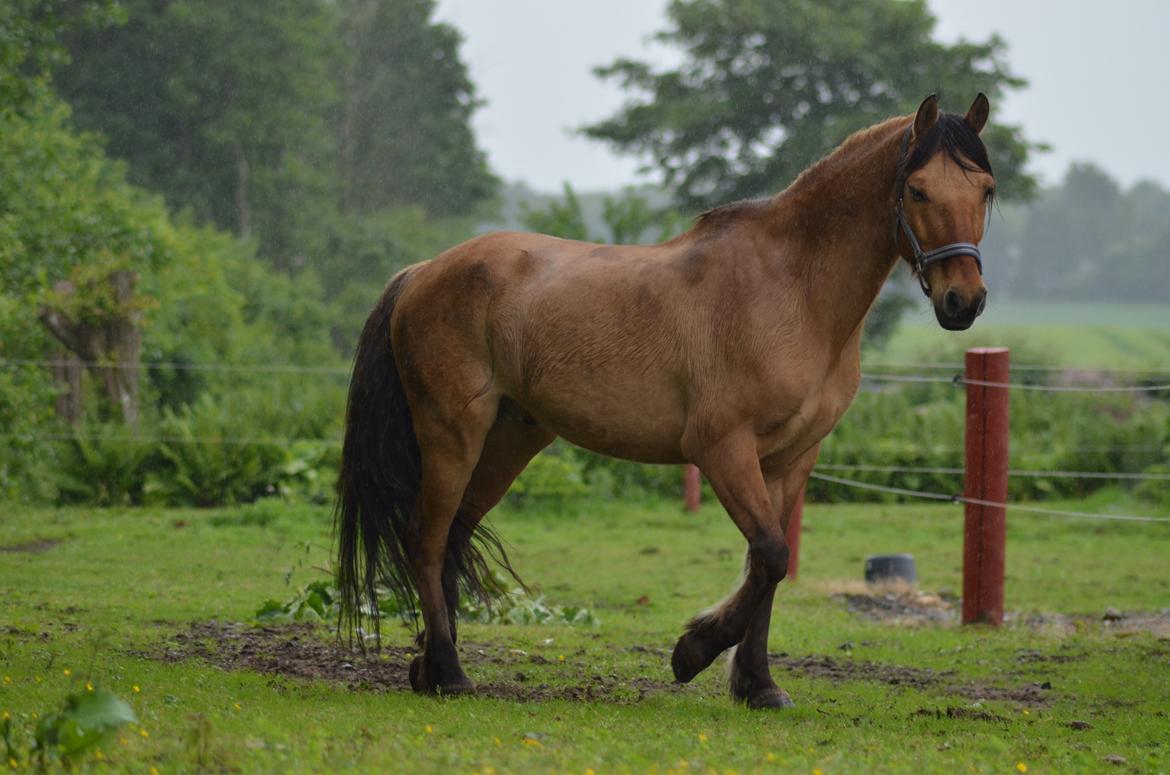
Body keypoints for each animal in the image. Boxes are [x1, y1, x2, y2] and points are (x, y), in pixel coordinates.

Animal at [336, 92, 996, 711]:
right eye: (917, 189)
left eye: (985, 190)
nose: (964, 301)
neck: (789, 289)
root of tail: (423, 272)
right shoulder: (722, 448)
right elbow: (770, 555)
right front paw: (693, 652)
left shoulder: (791, 460)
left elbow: (770, 569)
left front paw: (759, 685)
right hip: (453, 433)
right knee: (426, 536)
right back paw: (449, 674)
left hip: (511, 437)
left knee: (453, 533)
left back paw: (428, 665)